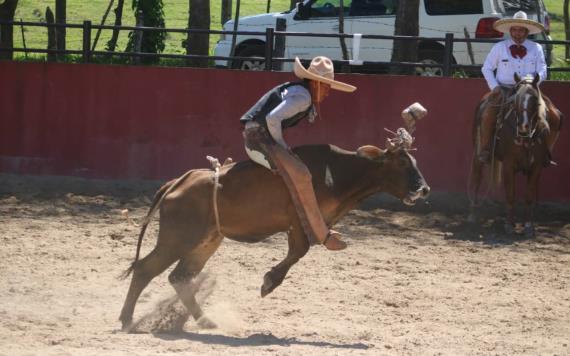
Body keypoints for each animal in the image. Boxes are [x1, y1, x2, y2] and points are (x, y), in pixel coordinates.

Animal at [121, 115, 430, 330]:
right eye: (403, 163)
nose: (424, 189)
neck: (336, 173)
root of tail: (177, 183)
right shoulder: (297, 222)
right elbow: (298, 252)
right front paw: (268, 282)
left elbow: (298, 253)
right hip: (177, 239)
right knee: (144, 269)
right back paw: (126, 320)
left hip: (205, 242)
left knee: (179, 277)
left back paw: (204, 320)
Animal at [468, 73, 556, 238]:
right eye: (516, 99)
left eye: (535, 98)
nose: (524, 126)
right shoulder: (509, 165)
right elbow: (510, 195)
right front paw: (509, 225)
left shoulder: (536, 167)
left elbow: (529, 196)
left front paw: (528, 226)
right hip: (477, 153)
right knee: (476, 179)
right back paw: (472, 215)